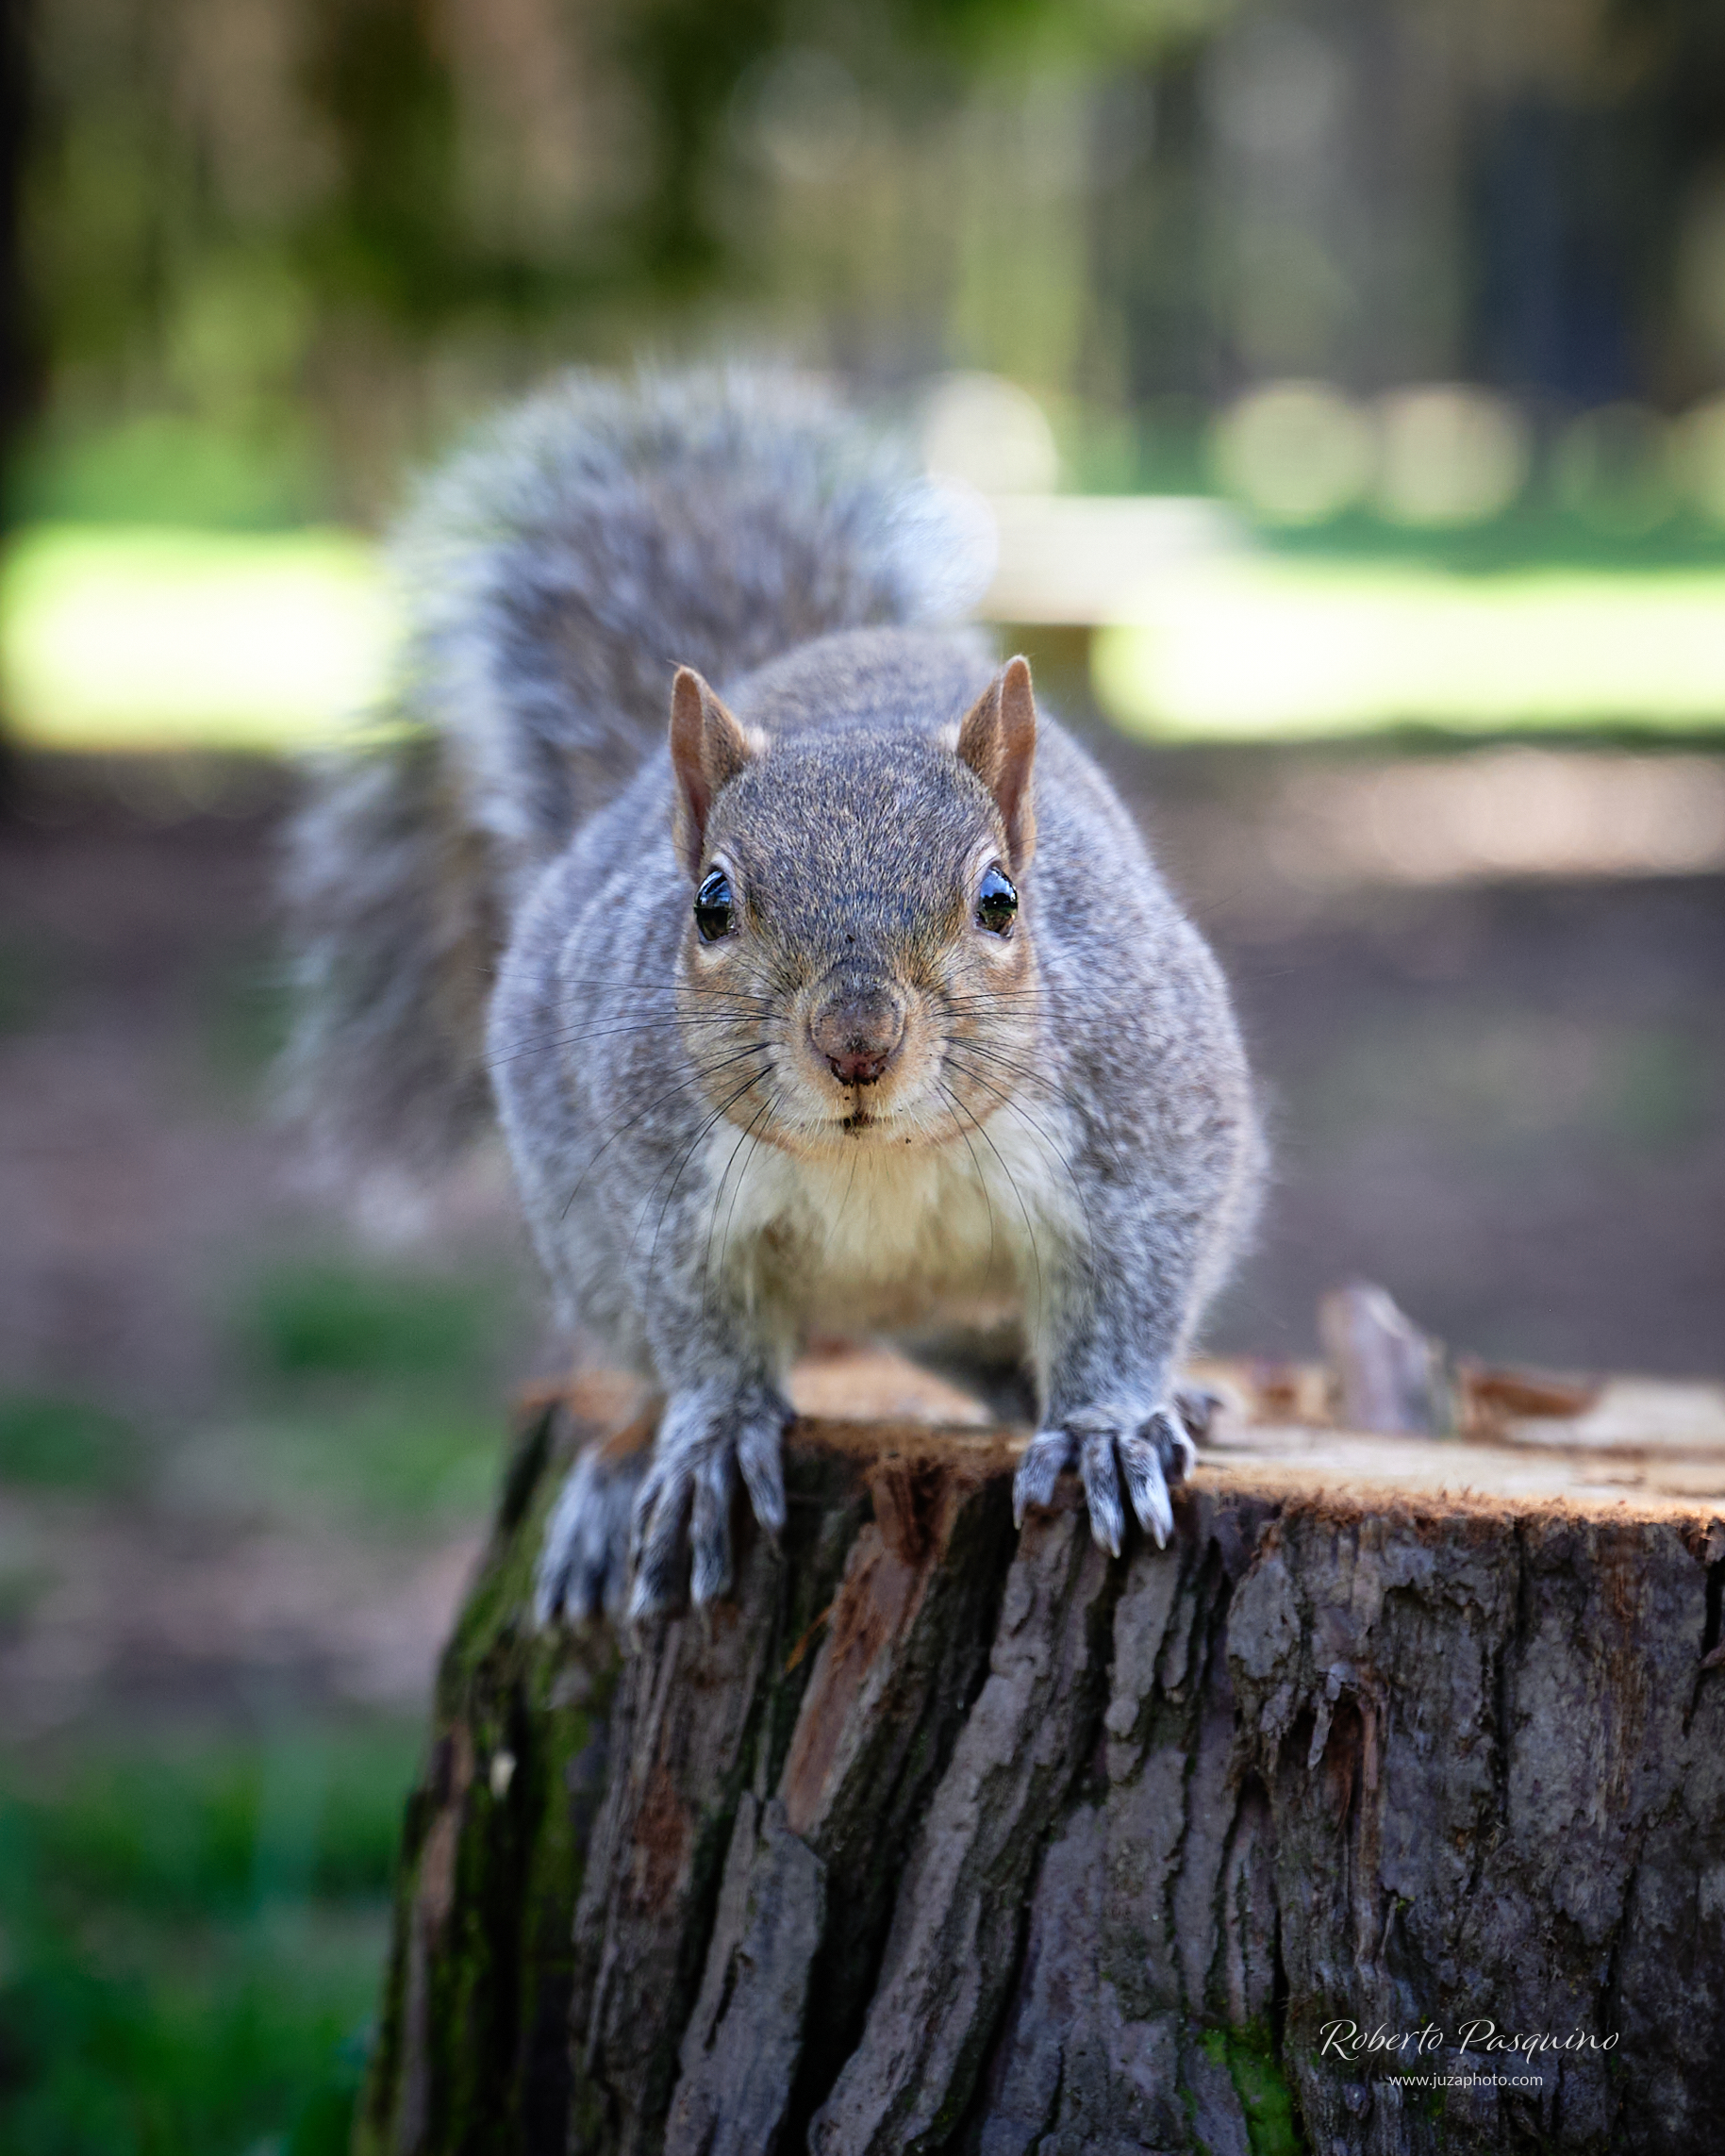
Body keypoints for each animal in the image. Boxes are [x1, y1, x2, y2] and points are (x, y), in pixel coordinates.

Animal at [285, 365, 1263, 1623]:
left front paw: (1107, 1426)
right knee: (652, 1359)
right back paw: (620, 1471)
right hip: (580, 1237)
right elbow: (701, 1326)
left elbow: (1135, 1279)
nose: (855, 1043)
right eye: (710, 904)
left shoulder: (1144, 1116)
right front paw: (710, 1440)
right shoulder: (655, 1185)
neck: (878, 1156)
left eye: (1000, 899)